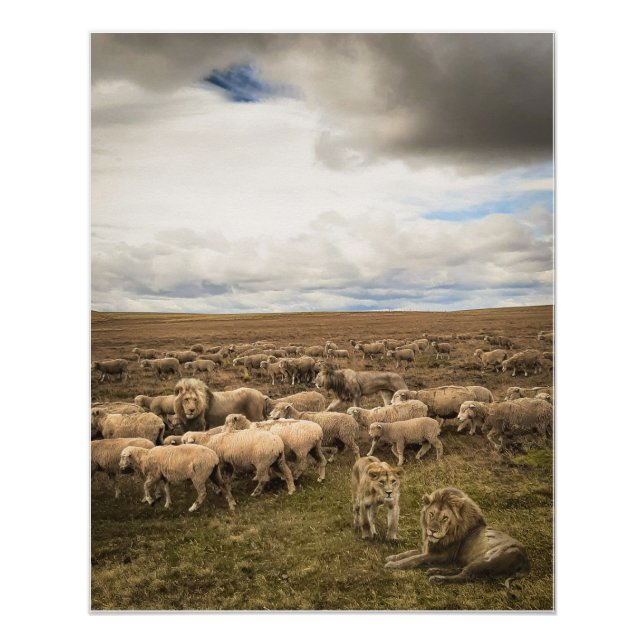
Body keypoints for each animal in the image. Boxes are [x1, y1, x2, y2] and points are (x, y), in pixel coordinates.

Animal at [384, 487, 530, 598]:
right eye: (431, 514)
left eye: (445, 518)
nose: (432, 531)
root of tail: (526, 561)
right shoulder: (428, 548)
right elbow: (410, 552)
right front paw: (392, 557)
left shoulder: (442, 555)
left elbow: (414, 559)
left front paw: (393, 564)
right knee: (460, 569)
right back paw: (433, 570)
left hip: (487, 560)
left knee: (464, 576)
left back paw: (437, 578)